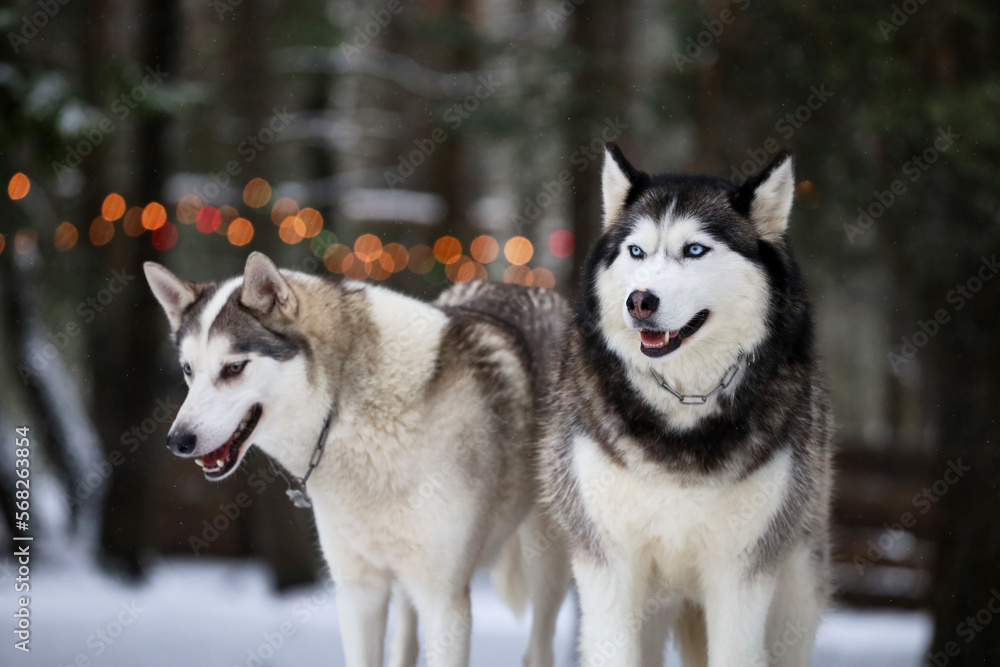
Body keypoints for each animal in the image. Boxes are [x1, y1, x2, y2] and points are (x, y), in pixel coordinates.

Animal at [146, 253, 572, 664]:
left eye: (234, 368)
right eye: (188, 370)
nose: (177, 441)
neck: (345, 412)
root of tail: (533, 288)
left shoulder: (444, 600)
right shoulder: (357, 593)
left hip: (546, 564)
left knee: (538, 651)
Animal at [540, 146, 836, 667]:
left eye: (695, 250)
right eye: (636, 251)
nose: (639, 301)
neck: (684, 405)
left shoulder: (740, 573)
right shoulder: (609, 565)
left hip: (794, 594)